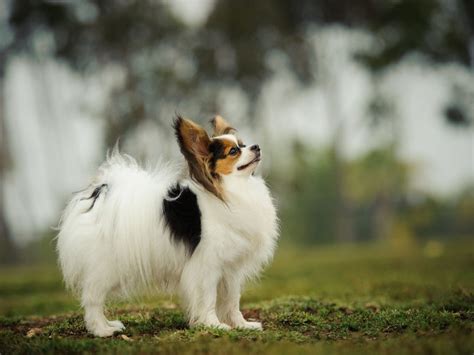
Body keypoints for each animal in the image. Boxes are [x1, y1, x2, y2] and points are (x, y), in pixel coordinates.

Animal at [56, 115, 278, 338]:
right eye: (233, 151)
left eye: (243, 144)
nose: (256, 147)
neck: (231, 190)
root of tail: (97, 196)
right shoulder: (206, 266)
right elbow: (208, 299)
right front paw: (213, 325)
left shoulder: (230, 269)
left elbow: (232, 301)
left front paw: (241, 325)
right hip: (106, 267)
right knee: (92, 298)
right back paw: (102, 329)